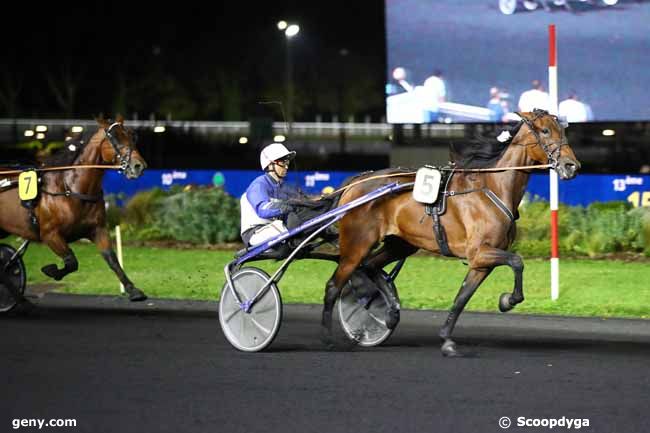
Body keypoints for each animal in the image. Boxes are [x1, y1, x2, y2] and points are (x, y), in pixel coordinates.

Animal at [0, 113, 148, 306]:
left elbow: (112, 259)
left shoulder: (98, 230)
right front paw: (52, 270)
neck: (71, 189)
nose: (139, 166)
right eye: (115, 138)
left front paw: (132, 290)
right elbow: (71, 261)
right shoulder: (50, 234)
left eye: (132, 136)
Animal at [322, 109, 580, 356]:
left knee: (370, 267)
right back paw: (330, 338)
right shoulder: (479, 252)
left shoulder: (480, 263)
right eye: (545, 130)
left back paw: (390, 312)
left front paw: (447, 341)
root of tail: (356, 182)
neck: (493, 189)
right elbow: (517, 261)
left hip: (400, 244)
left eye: (562, 129)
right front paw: (508, 300)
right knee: (335, 285)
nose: (572, 166)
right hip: (357, 244)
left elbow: (461, 299)